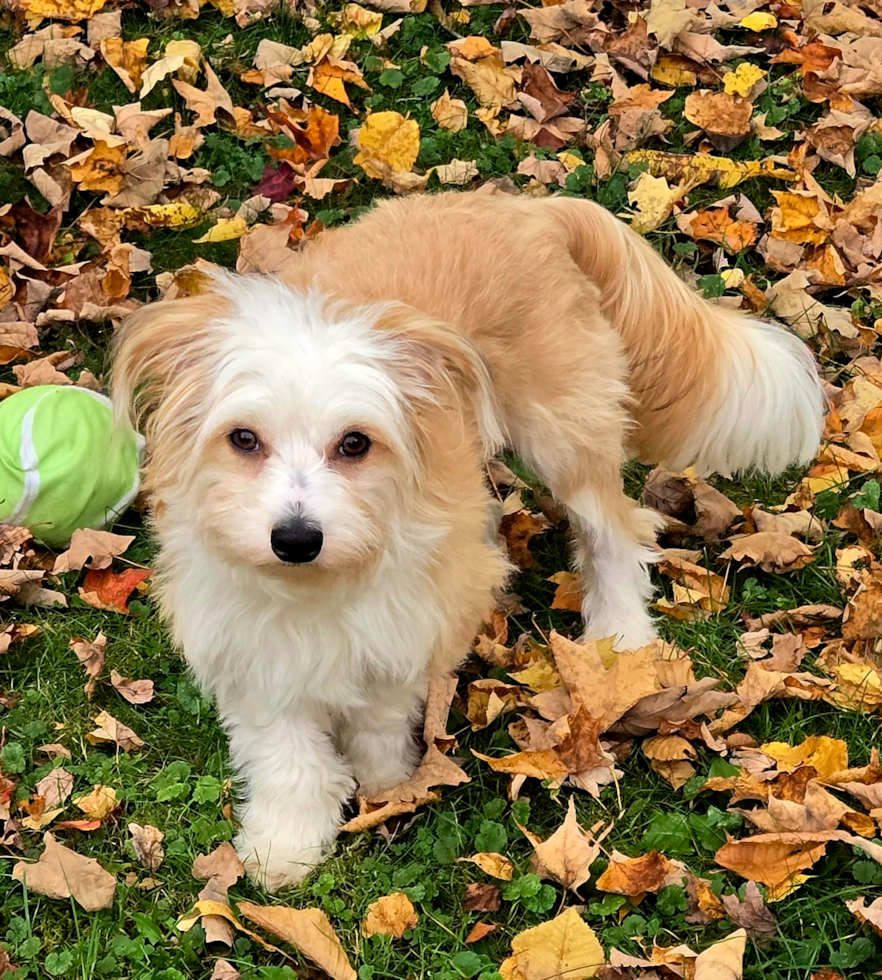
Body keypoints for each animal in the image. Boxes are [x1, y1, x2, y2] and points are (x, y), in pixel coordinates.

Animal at [111, 189, 824, 888]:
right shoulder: (246, 638)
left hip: (565, 433)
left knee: (615, 531)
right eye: (243, 439)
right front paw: (287, 838)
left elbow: (380, 710)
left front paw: (385, 782)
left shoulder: (406, 615)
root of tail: (529, 206)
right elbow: (286, 751)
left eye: (355, 443)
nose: (294, 538)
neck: (317, 586)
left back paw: (620, 631)